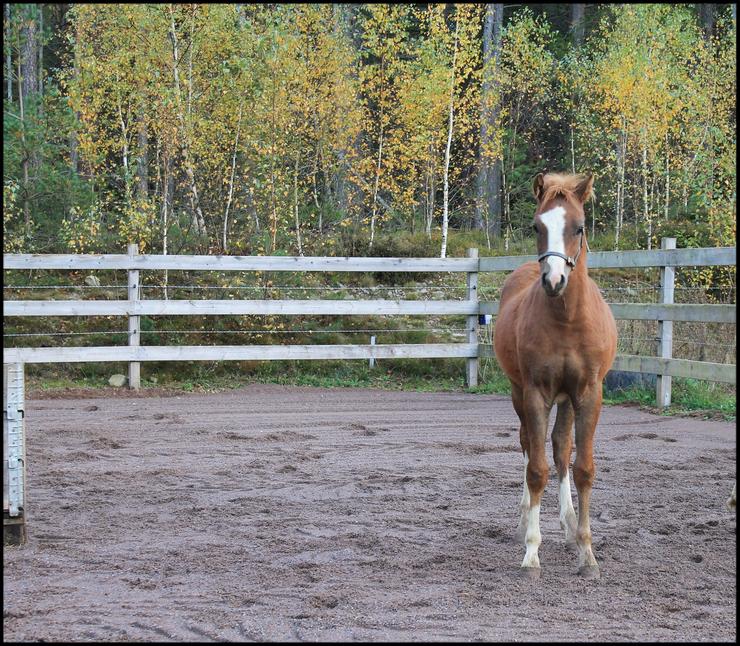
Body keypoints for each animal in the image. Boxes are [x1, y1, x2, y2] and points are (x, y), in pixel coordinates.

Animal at [498, 172, 620, 584]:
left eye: (578, 227)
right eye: (538, 226)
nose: (554, 280)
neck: (568, 321)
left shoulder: (589, 394)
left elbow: (582, 468)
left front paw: (587, 553)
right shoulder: (536, 392)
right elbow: (536, 469)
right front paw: (531, 554)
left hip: (567, 400)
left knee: (561, 449)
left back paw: (567, 525)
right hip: (519, 392)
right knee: (528, 445)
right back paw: (524, 521)